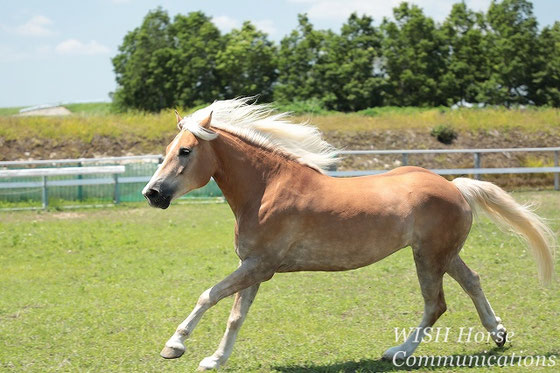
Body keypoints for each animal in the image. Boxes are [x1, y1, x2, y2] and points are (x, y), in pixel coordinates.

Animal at [142, 97, 552, 368]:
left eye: (185, 151)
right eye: (169, 149)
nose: (152, 193)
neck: (266, 188)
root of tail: (455, 186)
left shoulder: (260, 266)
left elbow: (209, 296)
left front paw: (174, 345)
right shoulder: (254, 266)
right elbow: (235, 315)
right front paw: (215, 358)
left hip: (429, 256)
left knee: (436, 304)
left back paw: (398, 352)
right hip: (443, 254)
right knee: (473, 281)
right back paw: (498, 334)